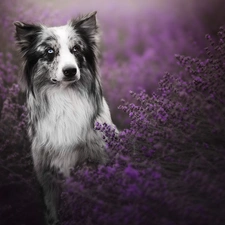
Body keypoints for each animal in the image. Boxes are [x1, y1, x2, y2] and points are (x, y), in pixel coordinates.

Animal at [13, 12, 115, 225]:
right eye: (50, 51)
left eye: (76, 49)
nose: (70, 71)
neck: (65, 98)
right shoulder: (46, 174)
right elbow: (52, 212)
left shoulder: (99, 158)